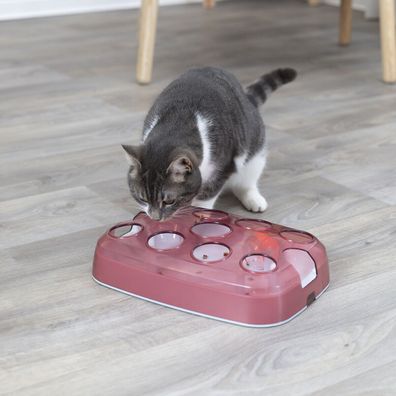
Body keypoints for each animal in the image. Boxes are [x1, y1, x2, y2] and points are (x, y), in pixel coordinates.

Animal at [122, 65, 296, 220]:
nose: (155, 218)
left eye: (169, 201)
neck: (176, 123)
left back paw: (254, 200)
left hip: (255, 154)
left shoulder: (224, 166)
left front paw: (199, 215)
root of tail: (246, 98)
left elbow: (207, 196)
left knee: (246, 182)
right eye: (142, 198)